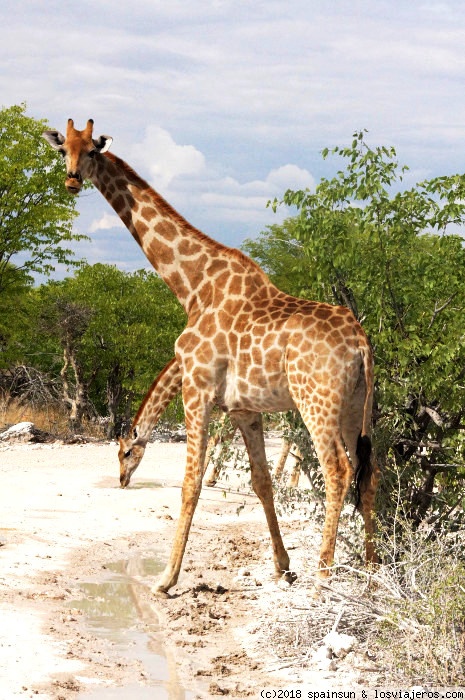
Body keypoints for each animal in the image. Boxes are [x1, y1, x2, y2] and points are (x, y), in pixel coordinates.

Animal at [42, 117, 376, 592]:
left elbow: (191, 482)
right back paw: (374, 570)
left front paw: (165, 579)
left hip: (317, 402)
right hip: (355, 406)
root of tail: (361, 343)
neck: (192, 287)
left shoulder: (196, 389)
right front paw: (282, 566)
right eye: (62, 149)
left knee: (338, 471)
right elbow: (261, 481)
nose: (71, 180)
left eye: (91, 150)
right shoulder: (242, 409)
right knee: (369, 472)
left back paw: (324, 572)